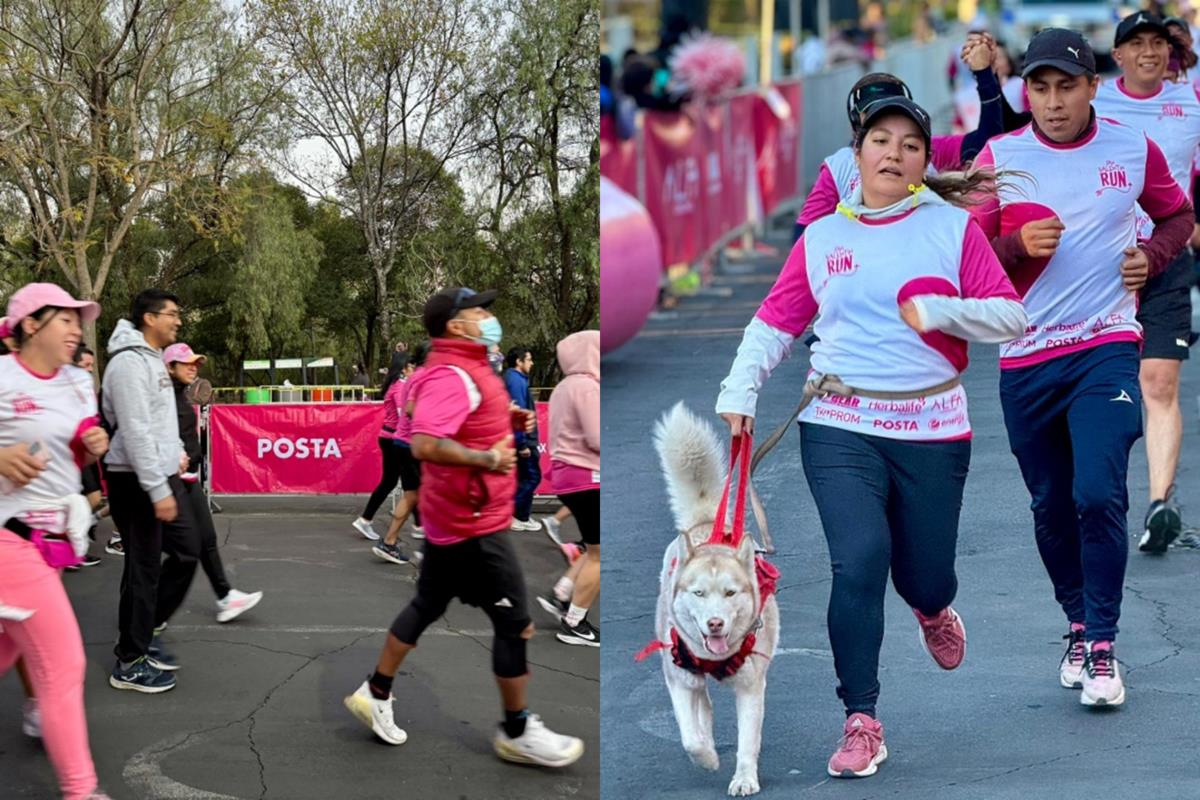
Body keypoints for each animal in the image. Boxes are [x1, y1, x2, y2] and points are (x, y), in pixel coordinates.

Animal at [652, 402, 782, 796]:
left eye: (730, 592)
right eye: (698, 593)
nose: (714, 623)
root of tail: (708, 523)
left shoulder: (752, 687)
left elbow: (747, 741)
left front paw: (744, 778)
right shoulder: (678, 679)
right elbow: (689, 738)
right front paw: (707, 757)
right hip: (687, 674)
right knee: (703, 708)